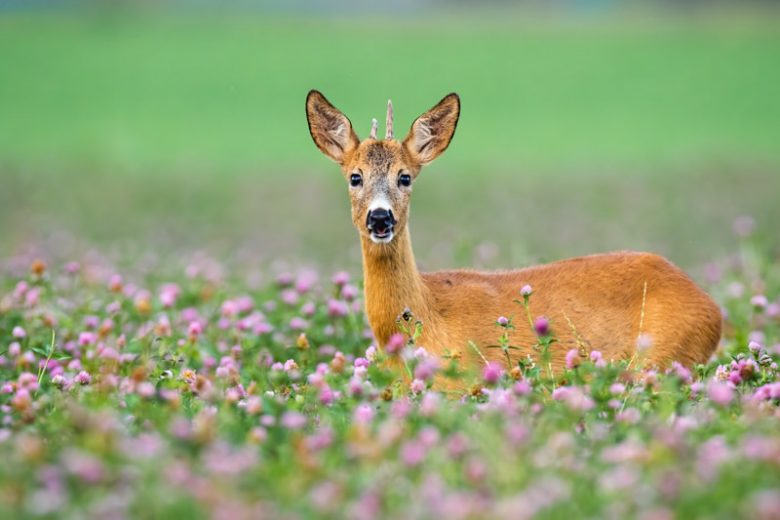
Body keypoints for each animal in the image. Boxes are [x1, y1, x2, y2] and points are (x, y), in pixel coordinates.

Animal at [305, 90, 722, 387]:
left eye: (405, 177)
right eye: (355, 177)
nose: (380, 217)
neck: (425, 317)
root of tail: (711, 307)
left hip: (663, 359)